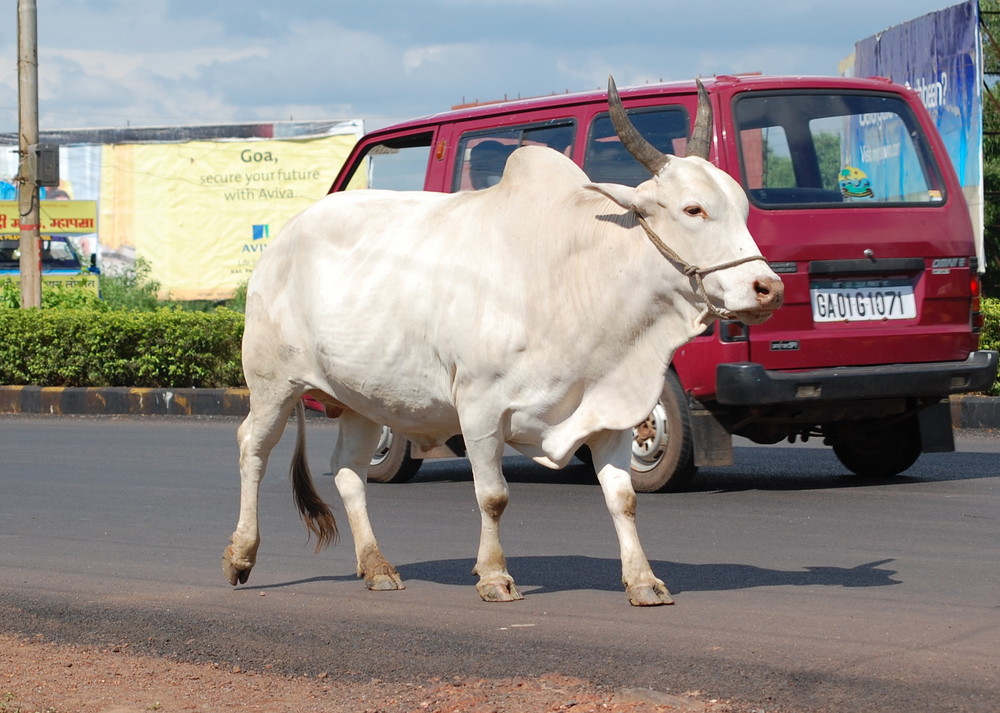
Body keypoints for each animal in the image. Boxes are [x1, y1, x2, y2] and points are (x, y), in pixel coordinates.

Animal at [225, 78, 780, 604]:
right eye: (693, 209)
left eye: (743, 206)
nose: (768, 288)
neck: (578, 277)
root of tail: (285, 237)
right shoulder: (480, 407)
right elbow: (493, 495)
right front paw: (494, 575)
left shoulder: (611, 409)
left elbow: (623, 498)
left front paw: (643, 581)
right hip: (273, 383)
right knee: (253, 447)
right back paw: (241, 557)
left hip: (363, 397)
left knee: (347, 471)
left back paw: (377, 567)